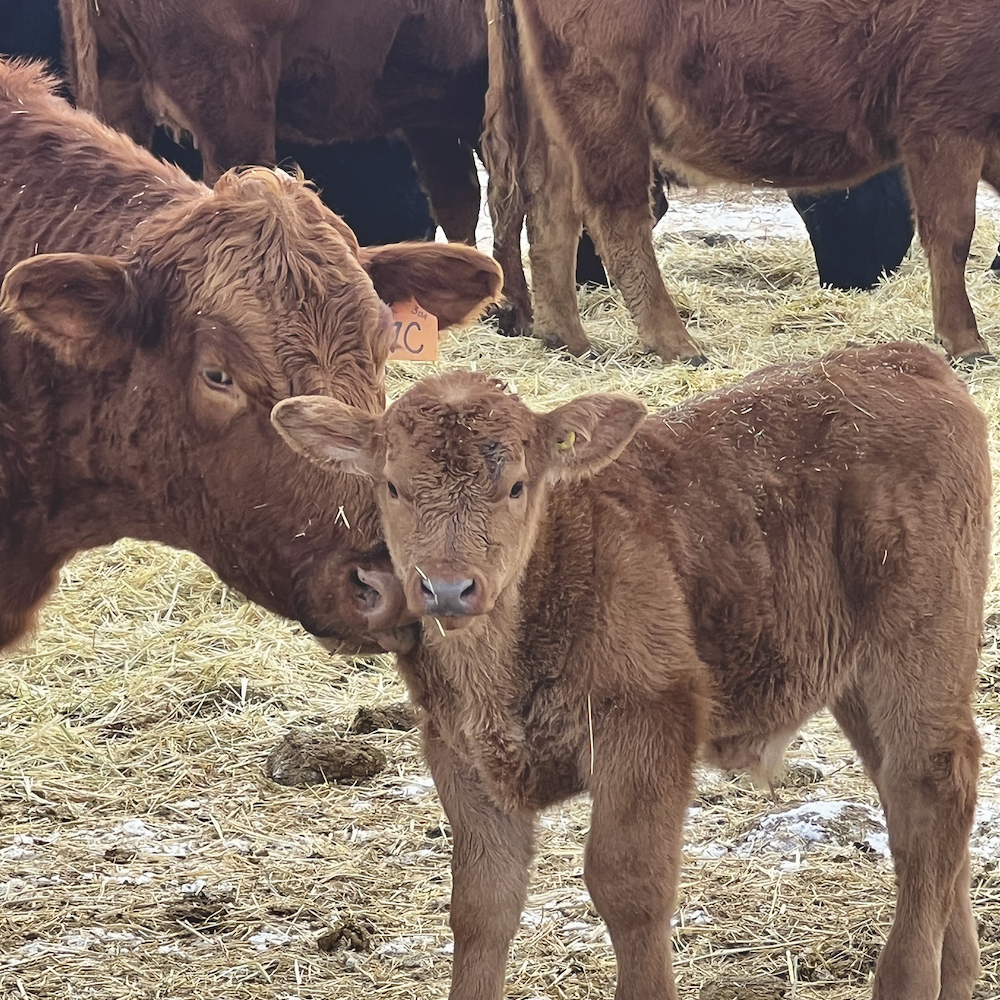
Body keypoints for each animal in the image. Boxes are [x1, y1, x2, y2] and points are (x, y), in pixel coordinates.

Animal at [272, 343, 989, 999]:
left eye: (517, 485)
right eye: (392, 485)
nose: (448, 588)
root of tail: (900, 358)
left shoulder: (648, 725)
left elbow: (628, 885)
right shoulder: (457, 749)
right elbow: (482, 903)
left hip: (919, 644)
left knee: (931, 789)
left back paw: (908, 980)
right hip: (861, 679)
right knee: (914, 800)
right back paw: (957, 976)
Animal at [484, 0, 1000, 366]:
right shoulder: (944, 123)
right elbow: (952, 236)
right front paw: (965, 341)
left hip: (558, 123)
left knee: (550, 216)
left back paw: (568, 341)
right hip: (605, 103)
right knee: (617, 218)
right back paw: (674, 343)